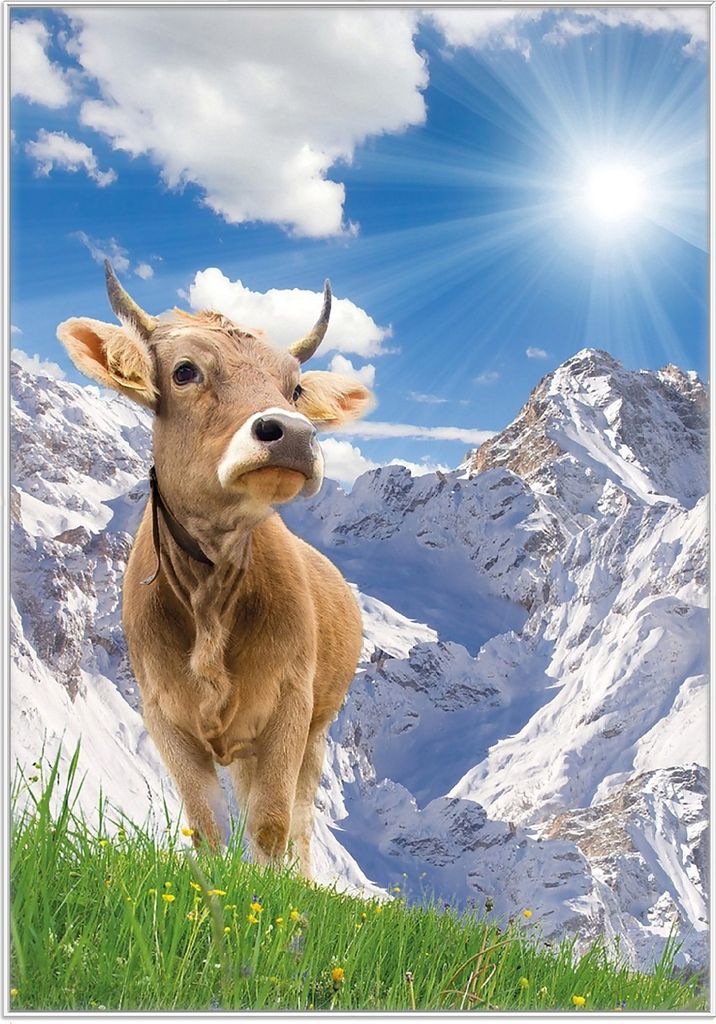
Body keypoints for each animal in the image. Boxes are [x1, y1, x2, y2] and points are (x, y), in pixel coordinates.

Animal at [57, 263, 373, 878]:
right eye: (185, 371)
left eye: (294, 388)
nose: (293, 433)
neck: (209, 595)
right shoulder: (165, 717)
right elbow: (206, 829)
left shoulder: (289, 707)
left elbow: (272, 827)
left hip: (317, 728)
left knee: (299, 820)